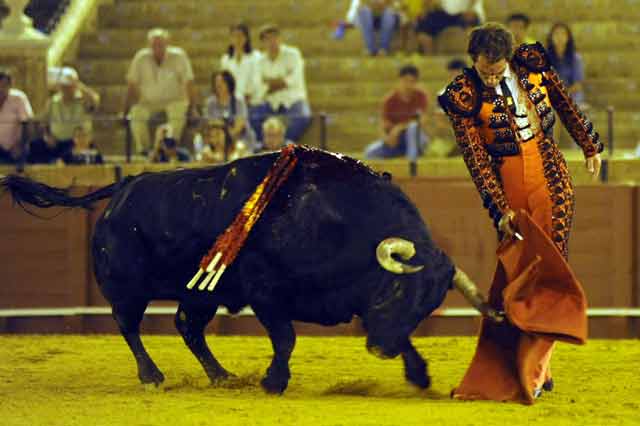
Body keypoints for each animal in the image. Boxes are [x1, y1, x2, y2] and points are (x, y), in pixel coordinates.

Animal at [0, 149, 496, 392]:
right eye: (397, 290)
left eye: (428, 305)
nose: (380, 350)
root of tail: (123, 185)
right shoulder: (265, 291)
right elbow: (286, 337)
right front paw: (273, 381)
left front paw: (419, 374)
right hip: (127, 287)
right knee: (128, 325)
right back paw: (152, 377)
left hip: (199, 293)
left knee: (187, 326)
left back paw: (220, 376)